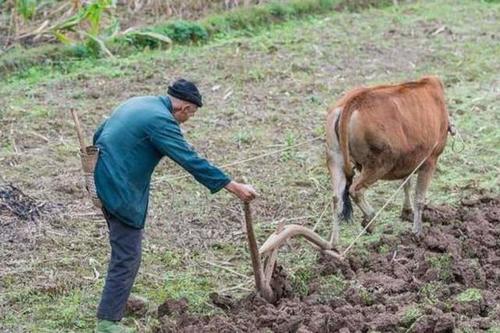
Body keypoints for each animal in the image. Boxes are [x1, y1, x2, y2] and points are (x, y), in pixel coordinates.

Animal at [326, 76, 452, 245]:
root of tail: (353, 101)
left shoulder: (410, 159)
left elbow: (406, 184)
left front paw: (407, 212)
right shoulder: (430, 160)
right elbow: (419, 198)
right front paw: (417, 232)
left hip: (335, 159)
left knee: (337, 199)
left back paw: (334, 244)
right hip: (378, 164)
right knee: (355, 190)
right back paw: (370, 219)